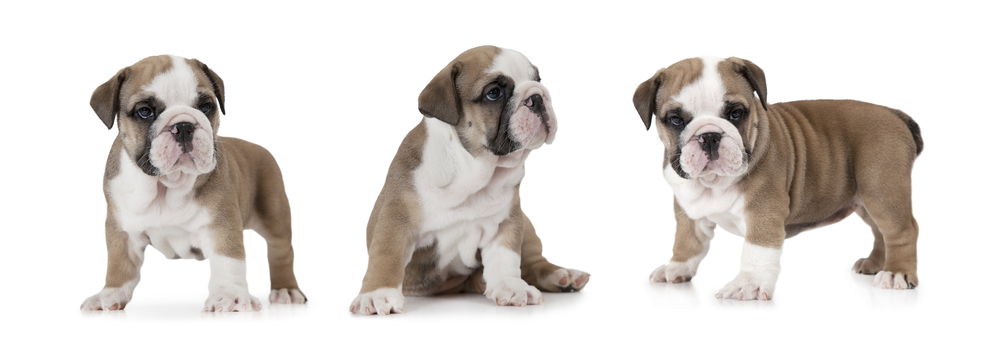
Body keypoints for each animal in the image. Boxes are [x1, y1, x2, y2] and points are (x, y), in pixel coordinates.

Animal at [82, 55, 304, 312]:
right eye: (145, 111)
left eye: (206, 106)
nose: (184, 125)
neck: (166, 185)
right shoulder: (122, 229)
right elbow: (120, 264)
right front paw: (109, 294)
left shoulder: (221, 225)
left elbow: (228, 261)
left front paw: (229, 296)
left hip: (274, 213)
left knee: (281, 250)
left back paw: (286, 290)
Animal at [350, 46, 584, 318]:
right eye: (494, 93)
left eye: (537, 79)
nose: (537, 96)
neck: (475, 169)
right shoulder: (396, 218)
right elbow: (388, 254)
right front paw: (378, 294)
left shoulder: (508, 220)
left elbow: (506, 256)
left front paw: (511, 285)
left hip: (528, 227)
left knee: (535, 263)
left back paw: (563, 276)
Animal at [632, 55, 920, 298]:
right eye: (675, 119)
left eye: (736, 113)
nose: (710, 135)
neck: (713, 183)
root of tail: (893, 113)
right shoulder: (688, 210)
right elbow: (687, 241)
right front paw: (676, 268)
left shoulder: (763, 212)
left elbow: (756, 251)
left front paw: (747, 284)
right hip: (865, 199)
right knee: (880, 231)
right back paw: (875, 264)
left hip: (882, 191)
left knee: (901, 230)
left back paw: (896, 272)